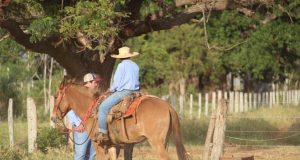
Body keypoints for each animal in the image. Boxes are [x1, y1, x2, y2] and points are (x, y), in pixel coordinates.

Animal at [51, 81, 188, 160]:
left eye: (56, 96)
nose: (52, 117)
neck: (90, 108)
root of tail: (168, 106)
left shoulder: (98, 145)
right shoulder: (112, 146)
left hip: (157, 143)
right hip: (164, 142)